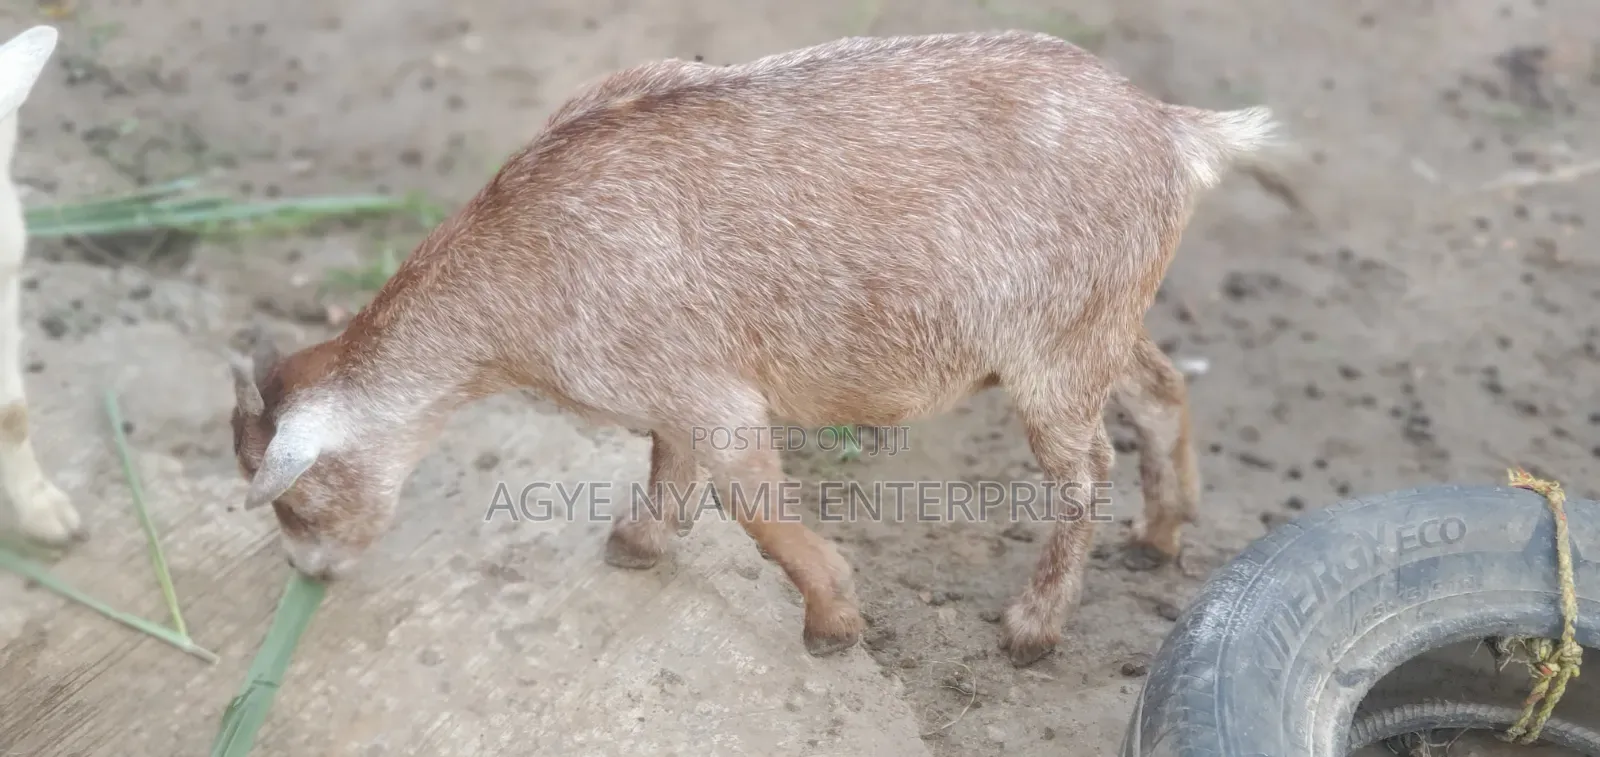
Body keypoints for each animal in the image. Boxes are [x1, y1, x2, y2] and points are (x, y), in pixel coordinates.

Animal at [230, 31, 1276, 666]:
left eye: (298, 502)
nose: (309, 573)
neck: (517, 259)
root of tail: (1175, 132)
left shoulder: (712, 396)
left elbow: (754, 507)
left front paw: (834, 620)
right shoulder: (671, 380)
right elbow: (668, 462)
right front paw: (638, 542)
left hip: (1052, 345)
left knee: (1085, 464)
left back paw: (1034, 624)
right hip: (1094, 315)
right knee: (1157, 387)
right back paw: (1162, 532)